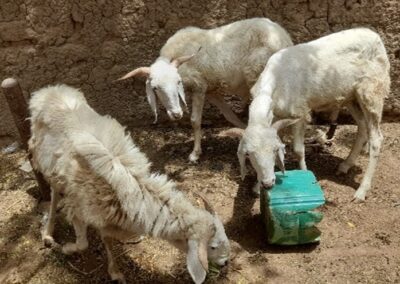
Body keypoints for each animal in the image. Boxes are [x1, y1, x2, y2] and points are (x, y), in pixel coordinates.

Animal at [29, 85, 230, 284]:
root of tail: (48, 90)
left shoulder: (108, 217)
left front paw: (115, 272)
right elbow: (83, 244)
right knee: (54, 194)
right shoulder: (78, 209)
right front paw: (67, 248)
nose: (226, 262)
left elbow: (107, 238)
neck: (133, 189)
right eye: (212, 247)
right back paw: (48, 233)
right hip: (47, 164)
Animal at [117, 17, 292, 163]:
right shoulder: (210, 91)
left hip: (259, 75)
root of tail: (284, 38)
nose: (176, 114)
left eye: (178, 82)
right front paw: (243, 131)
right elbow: (229, 116)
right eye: (155, 88)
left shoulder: (199, 87)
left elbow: (195, 120)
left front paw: (195, 153)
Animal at [220, 27, 390, 201]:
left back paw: (361, 191)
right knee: (362, 126)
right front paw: (257, 186)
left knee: (376, 139)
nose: (268, 184)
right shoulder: (277, 117)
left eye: (273, 150)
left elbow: (298, 150)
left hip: (372, 91)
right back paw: (345, 165)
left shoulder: (299, 112)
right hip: (351, 96)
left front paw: (304, 174)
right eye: (248, 154)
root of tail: (374, 35)